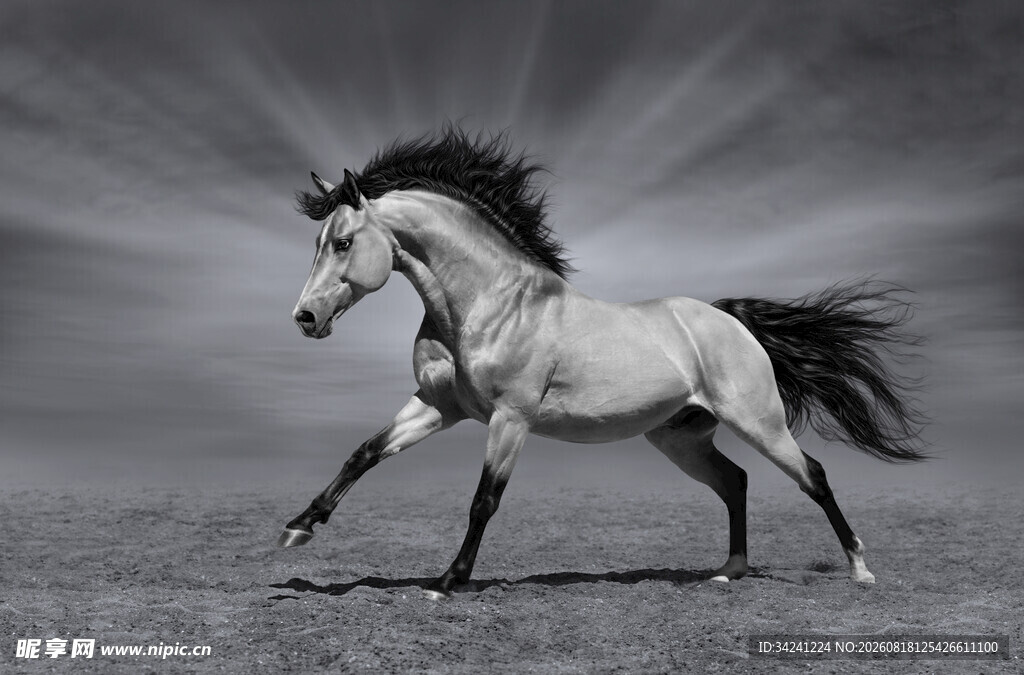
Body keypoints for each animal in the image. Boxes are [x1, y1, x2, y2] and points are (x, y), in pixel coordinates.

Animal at [278, 127, 926, 600]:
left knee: (812, 475)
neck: (489, 305)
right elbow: (364, 453)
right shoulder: (439, 407)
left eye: (342, 243)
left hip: (758, 422)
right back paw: (729, 571)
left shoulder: (510, 419)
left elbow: (484, 499)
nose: (305, 318)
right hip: (681, 438)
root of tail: (729, 320)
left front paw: (447, 583)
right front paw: (298, 527)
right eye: (318, 243)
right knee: (735, 481)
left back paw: (860, 570)